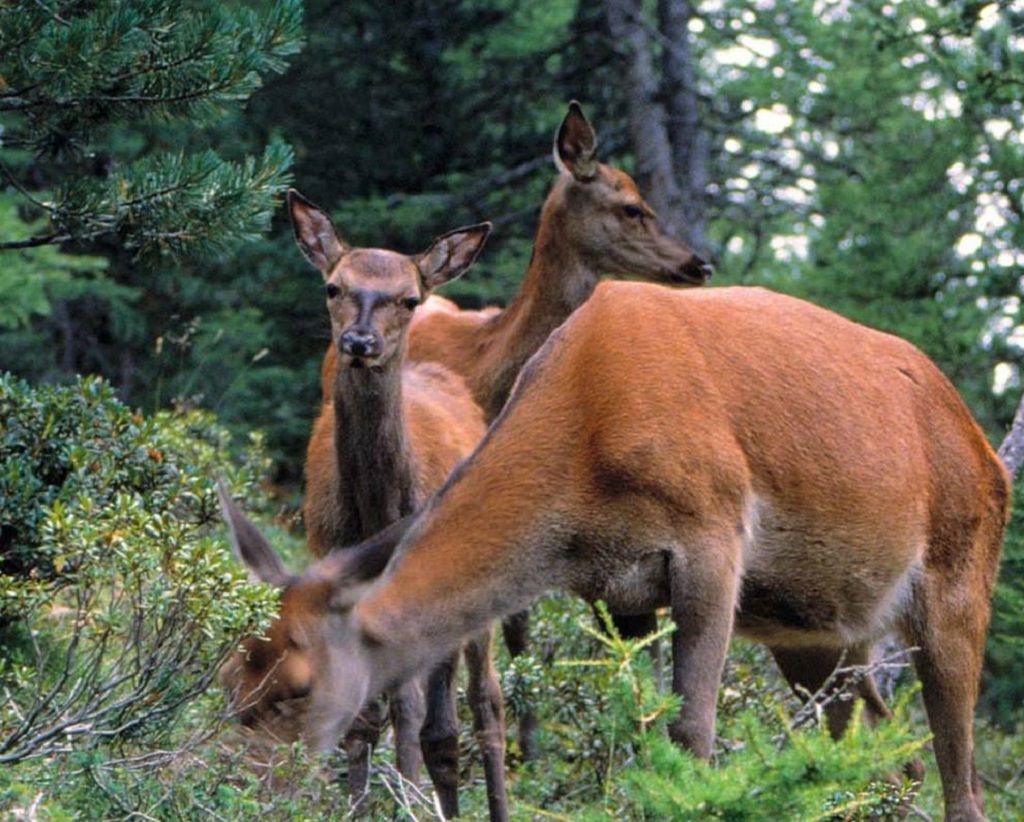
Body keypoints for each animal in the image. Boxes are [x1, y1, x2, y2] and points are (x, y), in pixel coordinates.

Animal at [219, 190, 508, 821]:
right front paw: (358, 803)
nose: (359, 342)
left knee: (484, 707)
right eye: (334, 286)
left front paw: (406, 796)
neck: (378, 510)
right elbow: (367, 714)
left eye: (408, 298)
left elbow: (410, 710)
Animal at [221, 280, 1008, 822]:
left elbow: (692, 732)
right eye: (231, 681)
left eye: (298, 687)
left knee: (963, 781)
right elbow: (633, 734)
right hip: (816, 635)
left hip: (961, 578)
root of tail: (984, 448)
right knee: (876, 748)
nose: (246, 794)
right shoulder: (612, 591)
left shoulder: (712, 534)